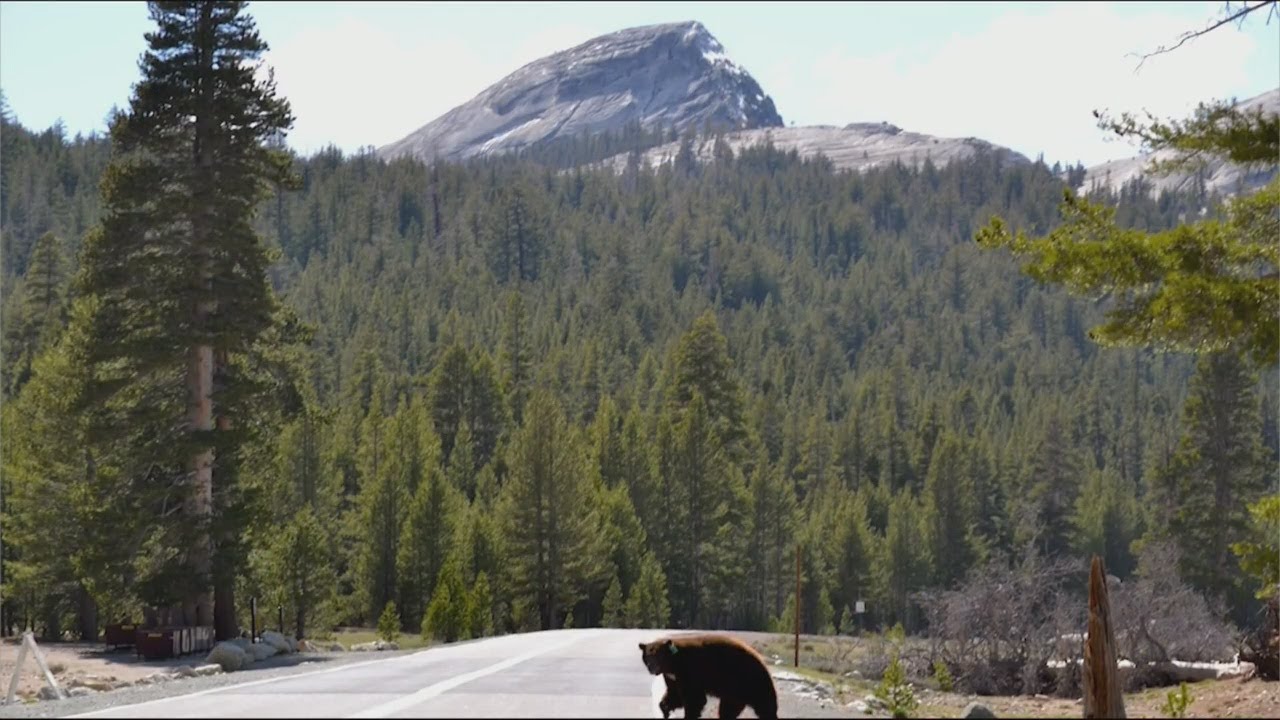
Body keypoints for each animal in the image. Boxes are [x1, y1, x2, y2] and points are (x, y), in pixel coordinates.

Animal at [639, 633, 778, 719]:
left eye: (657, 655)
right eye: (648, 656)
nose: (651, 667)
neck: (673, 663)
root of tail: (762, 662)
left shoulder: (689, 670)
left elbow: (694, 698)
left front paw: (689, 715)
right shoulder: (672, 677)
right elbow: (674, 694)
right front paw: (665, 708)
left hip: (751, 681)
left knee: (766, 706)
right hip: (734, 693)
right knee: (727, 710)